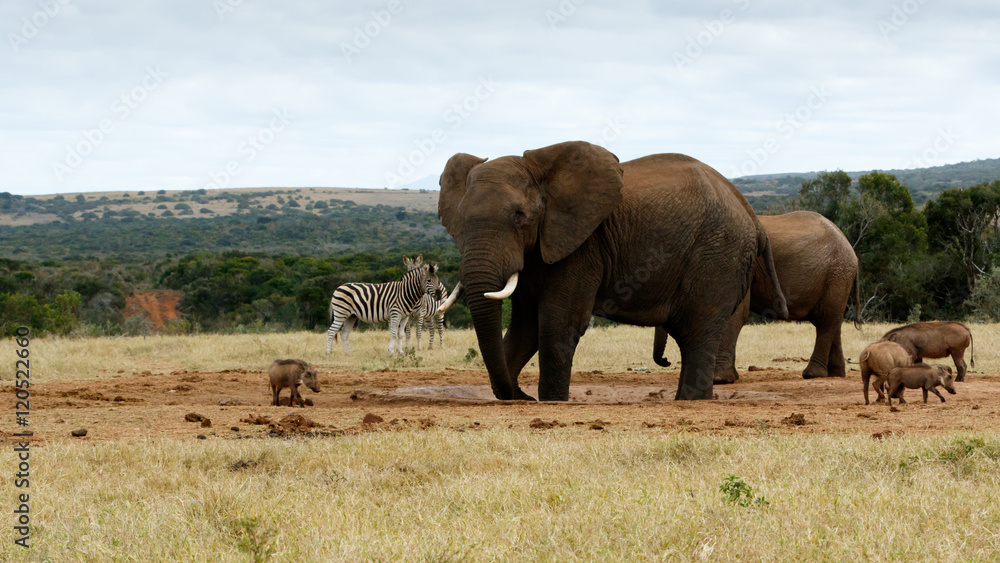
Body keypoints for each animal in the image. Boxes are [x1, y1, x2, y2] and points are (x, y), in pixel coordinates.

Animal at [437, 141, 787, 401]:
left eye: (519, 216)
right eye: (460, 218)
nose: (521, 395)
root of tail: (752, 216)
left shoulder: (584, 244)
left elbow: (556, 322)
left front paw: (552, 401)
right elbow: (525, 326)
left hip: (719, 254)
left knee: (696, 331)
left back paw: (689, 401)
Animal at [653, 210, 860, 382]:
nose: (667, 361)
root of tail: (852, 252)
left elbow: (735, 312)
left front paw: (719, 379)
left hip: (837, 274)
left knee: (825, 321)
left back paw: (812, 375)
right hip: (838, 277)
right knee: (833, 321)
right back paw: (836, 374)